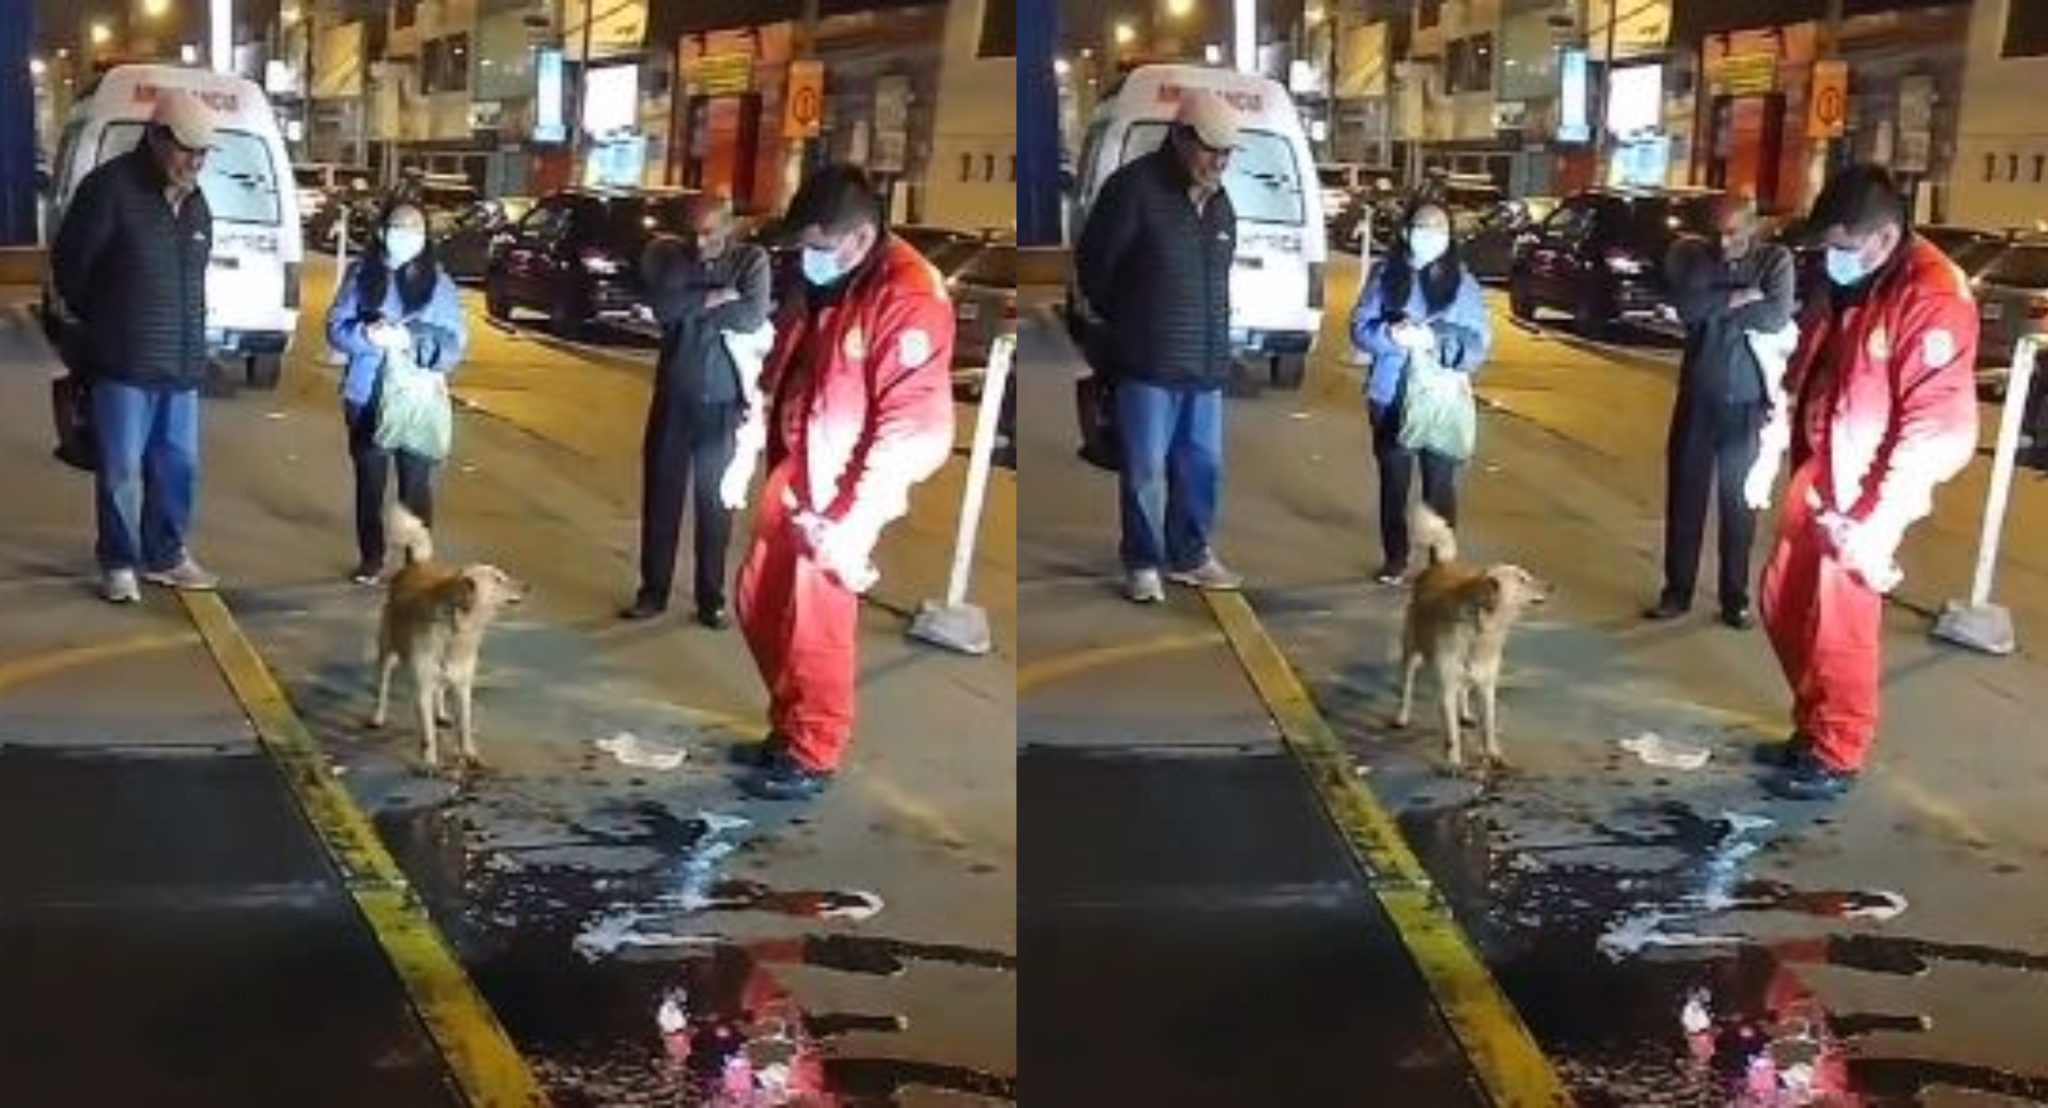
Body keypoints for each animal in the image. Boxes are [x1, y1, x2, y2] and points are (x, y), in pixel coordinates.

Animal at [368, 507, 528, 774]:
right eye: (497, 579)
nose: (528, 586)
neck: (457, 629)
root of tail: (417, 563)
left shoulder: (463, 687)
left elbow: (464, 727)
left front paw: (470, 755)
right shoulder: (422, 687)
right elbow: (428, 734)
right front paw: (430, 762)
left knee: (440, 689)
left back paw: (441, 714)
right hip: (387, 650)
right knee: (383, 685)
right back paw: (377, 717)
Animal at [1392, 507, 1548, 774]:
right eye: (1521, 579)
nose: (1552, 586)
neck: (1481, 629)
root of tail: (1441, 563)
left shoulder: (1486, 687)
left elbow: (1489, 727)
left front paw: (1494, 755)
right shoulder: (1445, 687)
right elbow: (1452, 734)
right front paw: (1454, 762)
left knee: (1464, 690)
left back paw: (1465, 713)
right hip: (1411, 650)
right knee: (1407, 685)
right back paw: (1402, 716)